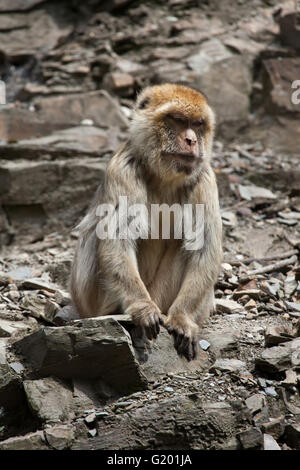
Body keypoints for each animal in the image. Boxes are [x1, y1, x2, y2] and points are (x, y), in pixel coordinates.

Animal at [71, 83, 223, 360]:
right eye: (177, 120)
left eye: (197, 124)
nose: (192, 140)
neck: (164, 176)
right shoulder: (123, 168)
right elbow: (117, 240)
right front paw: (142, 308)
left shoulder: (205, 177)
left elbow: (204, 249)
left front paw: (183, 318)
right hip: (96, 298)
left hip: (161, 295)